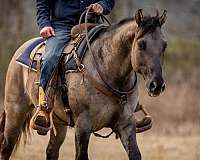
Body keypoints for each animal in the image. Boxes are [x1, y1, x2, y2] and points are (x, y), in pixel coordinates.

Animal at [0, 9, 167, 160]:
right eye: (141, 44)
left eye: (164, 45)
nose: (157, 85)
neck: (108, 72)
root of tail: (21, 50)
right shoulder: (83, 125)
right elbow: (81, 155)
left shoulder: (126, 123)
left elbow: (135, 154)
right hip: (15, 112)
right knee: (6, 147)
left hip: (58, 121)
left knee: (51, 150)